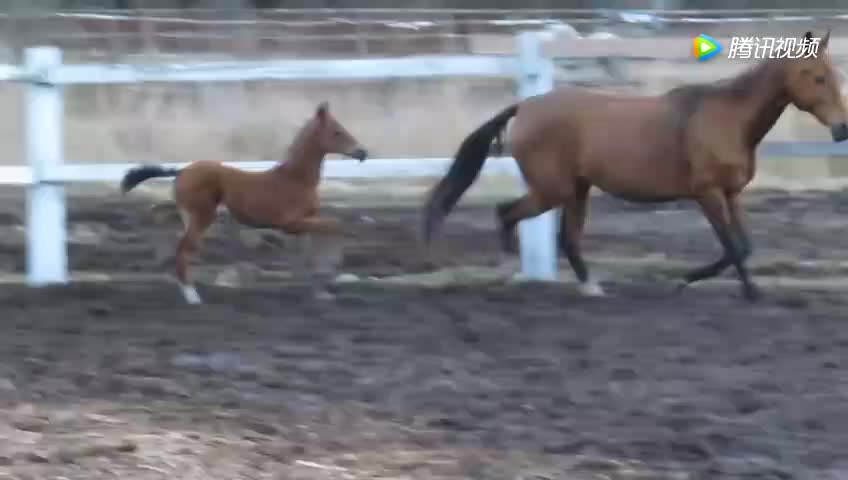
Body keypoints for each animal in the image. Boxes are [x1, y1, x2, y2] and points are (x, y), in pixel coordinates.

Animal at [424, 30, 848, 302]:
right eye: (817, 76)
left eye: (835, 75)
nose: (842, 129)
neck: (727, 118)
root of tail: (525, 106)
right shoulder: (707, 194)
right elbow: (731, 247)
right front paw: (684, 281)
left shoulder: (732, 194)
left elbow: (743, 246)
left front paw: (749, 290)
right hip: (552, 189)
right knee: (506, 213)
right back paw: (513, 271)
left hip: (577, 189)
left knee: (566, 238)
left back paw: (591, 287)